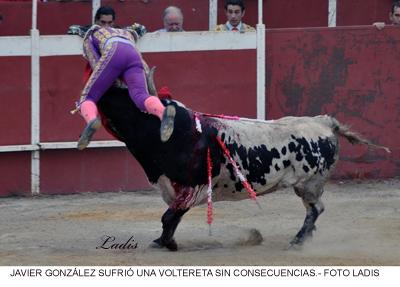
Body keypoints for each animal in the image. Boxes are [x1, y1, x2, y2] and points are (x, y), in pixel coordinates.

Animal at [94, 81, 388, 252]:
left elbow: (170, 216)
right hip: (308, 185)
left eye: (125, 97)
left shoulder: (192, 186)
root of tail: (324, 122)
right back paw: (303, 238)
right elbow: (171, 217)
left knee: (316, 209)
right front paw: (167, 241)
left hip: (309, 184)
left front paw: (163, 243)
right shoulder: (174, 186)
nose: (100, 91)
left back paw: (297, 241)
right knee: (315, 210)